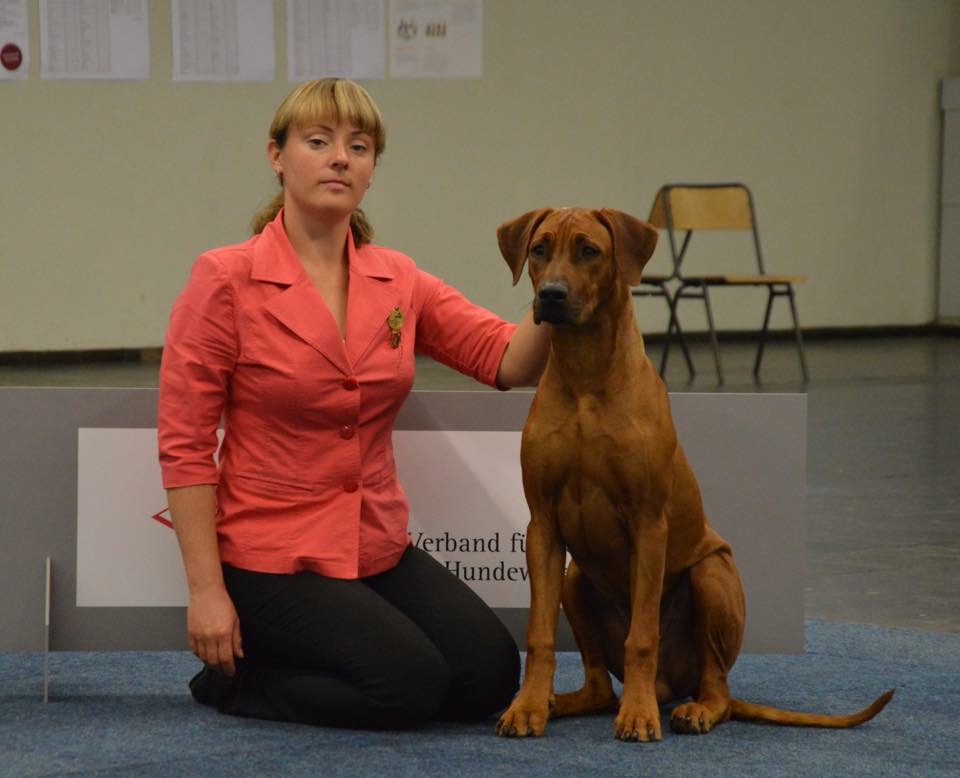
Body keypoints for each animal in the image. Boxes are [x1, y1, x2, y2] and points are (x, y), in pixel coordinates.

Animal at [494, 207, 893, 741]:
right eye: (539, 250)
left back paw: (691, 708)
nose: (552, 295)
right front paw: (528, 706)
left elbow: (642, 635)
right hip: (576, 578)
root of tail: (672, 685)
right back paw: (567, 701)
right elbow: (538, 633)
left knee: (716, 684)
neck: (585, 376)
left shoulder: (648, 523)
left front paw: (637, 714)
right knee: (601, 686)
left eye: (589, 251)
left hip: (711, 576)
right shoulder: (542, 524)